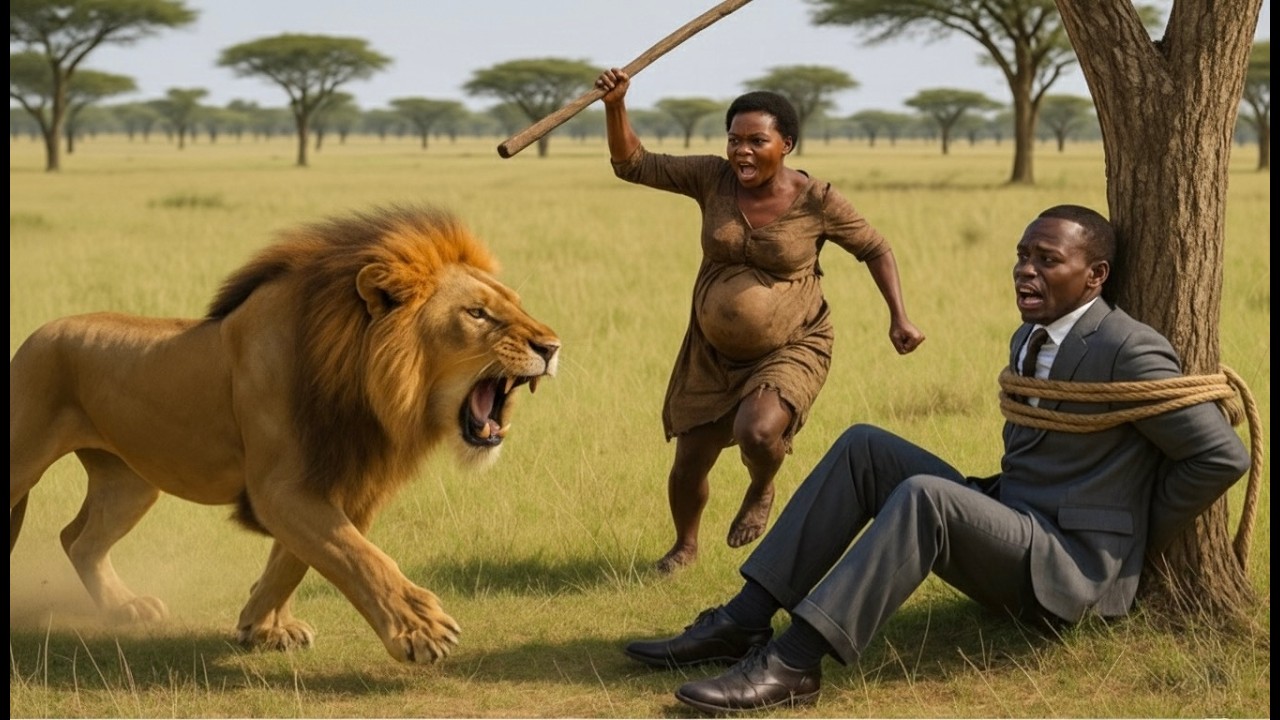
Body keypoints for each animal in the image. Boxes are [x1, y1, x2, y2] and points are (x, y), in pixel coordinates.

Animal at [9, 205, 560, 664]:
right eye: (477, 313)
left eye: (515, 304)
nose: (552, 346)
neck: (362, 381)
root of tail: (35, 336)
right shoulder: (281, 488)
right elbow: (357, 557)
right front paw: (421, 629)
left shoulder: (344, 483)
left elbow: (300, 559)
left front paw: (262, 625)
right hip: (25, 459)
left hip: (130, 482)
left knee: (80, 539)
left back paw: (125, 607)